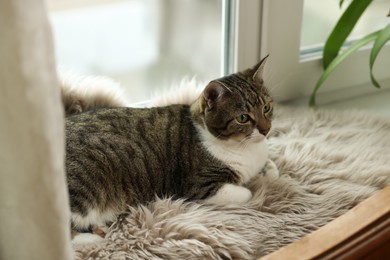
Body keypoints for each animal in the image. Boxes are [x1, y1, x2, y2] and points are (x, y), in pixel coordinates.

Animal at [64, 56, 278, 242]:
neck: (246, 148)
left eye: (266, 108)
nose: (266, 129)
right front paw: (252, 186)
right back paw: (90, 239)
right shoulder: (199, 187)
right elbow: (246, 192)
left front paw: (268, 173)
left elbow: (270, 168)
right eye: (243, 118)